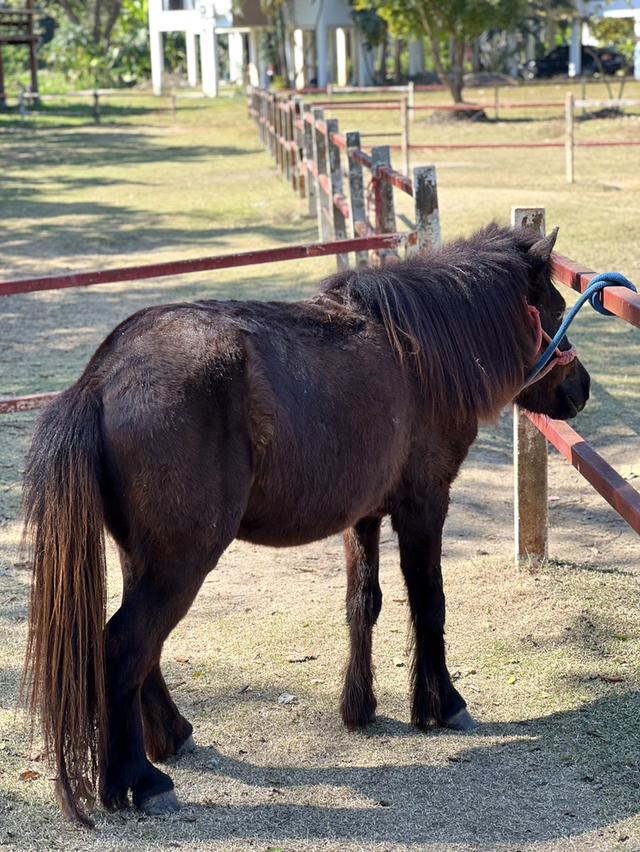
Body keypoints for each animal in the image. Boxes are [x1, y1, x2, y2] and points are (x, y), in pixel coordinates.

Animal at [22, 223, 590, 825]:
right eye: (555, 311)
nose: (581, 390)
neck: (417, 356)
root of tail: (102, 377)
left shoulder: (363, 517)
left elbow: (363, 604)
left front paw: (360, 708)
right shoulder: (425, 505)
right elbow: (429, 605)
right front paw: (443, 705)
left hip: (144, 559)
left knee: (141, 651)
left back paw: (172, 737)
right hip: (181, 563)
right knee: (123, 648)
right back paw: (141, 780)